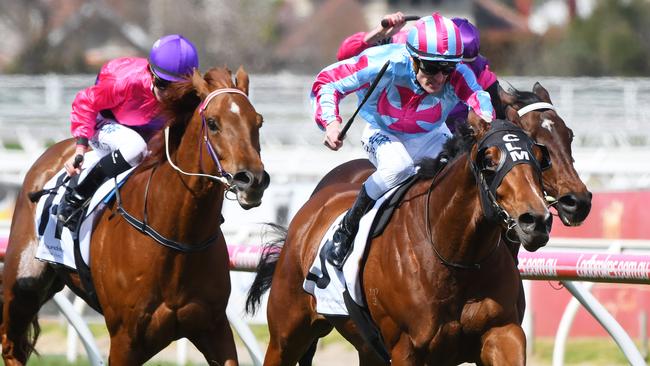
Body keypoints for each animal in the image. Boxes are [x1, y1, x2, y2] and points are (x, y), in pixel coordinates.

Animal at [0, 67, 268, 364]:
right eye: (212, 123)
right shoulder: (125, 339)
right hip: (24, 283)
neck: (178, 239)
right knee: (11, 345)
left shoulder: (214, 327)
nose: (252, 180)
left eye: (258, 122)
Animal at [246, 113, 548, 364]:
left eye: (538, 156)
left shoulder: (503, 333)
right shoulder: (407, 348)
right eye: (489, 160)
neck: (455, 258)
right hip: (286, 334)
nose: (535, 220)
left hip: (366, 348)